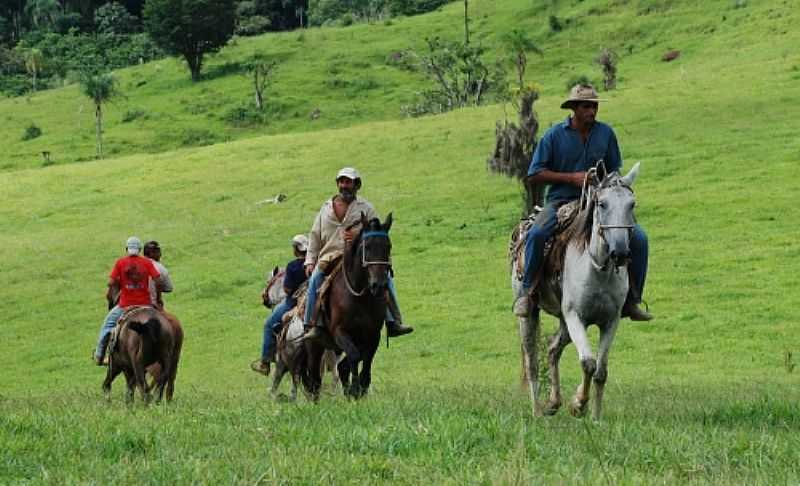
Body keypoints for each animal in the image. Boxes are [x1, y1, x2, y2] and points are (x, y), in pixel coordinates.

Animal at [302, 213, 392, 398]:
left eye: (388, 247)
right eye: (367, 247)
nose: (378, 285)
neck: (359, 296)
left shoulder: (373, 334)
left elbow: (366, 360)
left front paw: (360, 389)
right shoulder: (340, 332)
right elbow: (355, 356)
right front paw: (355, 389)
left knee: (342, 367)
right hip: (314, 346)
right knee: (315, 378)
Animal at [512, 162, 644, 418]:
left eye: (631, 204)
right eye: (602, 203)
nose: (620, 252)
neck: (597, 269)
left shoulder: (610, 320)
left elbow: (601, 371)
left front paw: (595, 417)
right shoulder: (575, 316)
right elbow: (588, 363)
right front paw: (578, 405)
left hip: (563, 321)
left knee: (552, 349)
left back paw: (553, 403)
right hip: (531, 314)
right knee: (532, 361)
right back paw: (537, 412)